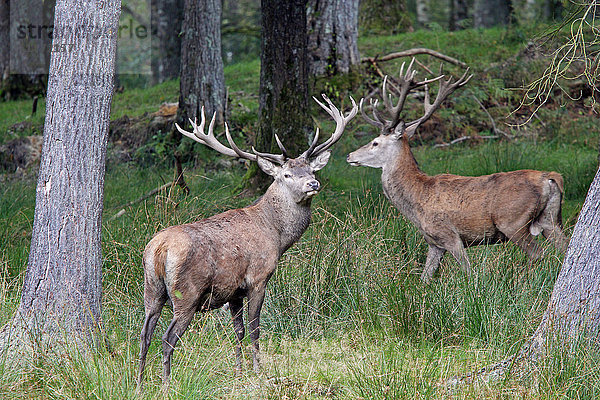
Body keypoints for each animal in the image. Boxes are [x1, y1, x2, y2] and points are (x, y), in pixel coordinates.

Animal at [137, 95, 356, 390]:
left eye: (310, 169)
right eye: (286, 175)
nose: (313, 183)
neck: (276, 234)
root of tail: (159, 250)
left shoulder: (233, 292)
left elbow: (238, 331)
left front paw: (239, 372)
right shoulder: (258, 277)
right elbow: (255, 328)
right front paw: (258, 371)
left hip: (152, 289)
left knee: (145, 334)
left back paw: (138, 383)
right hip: (187, 293)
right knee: (167, 338)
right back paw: (166, 384)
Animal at [346, 60, 568, 284]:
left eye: (375, 143)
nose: (349, 155)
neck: (416, 199)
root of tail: (548, 178)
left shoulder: (449, 235)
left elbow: (468, 271)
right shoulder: (434, 243)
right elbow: (425, 278)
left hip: (513, 221)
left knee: (537, 253)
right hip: (550, 219)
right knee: (564, 247)